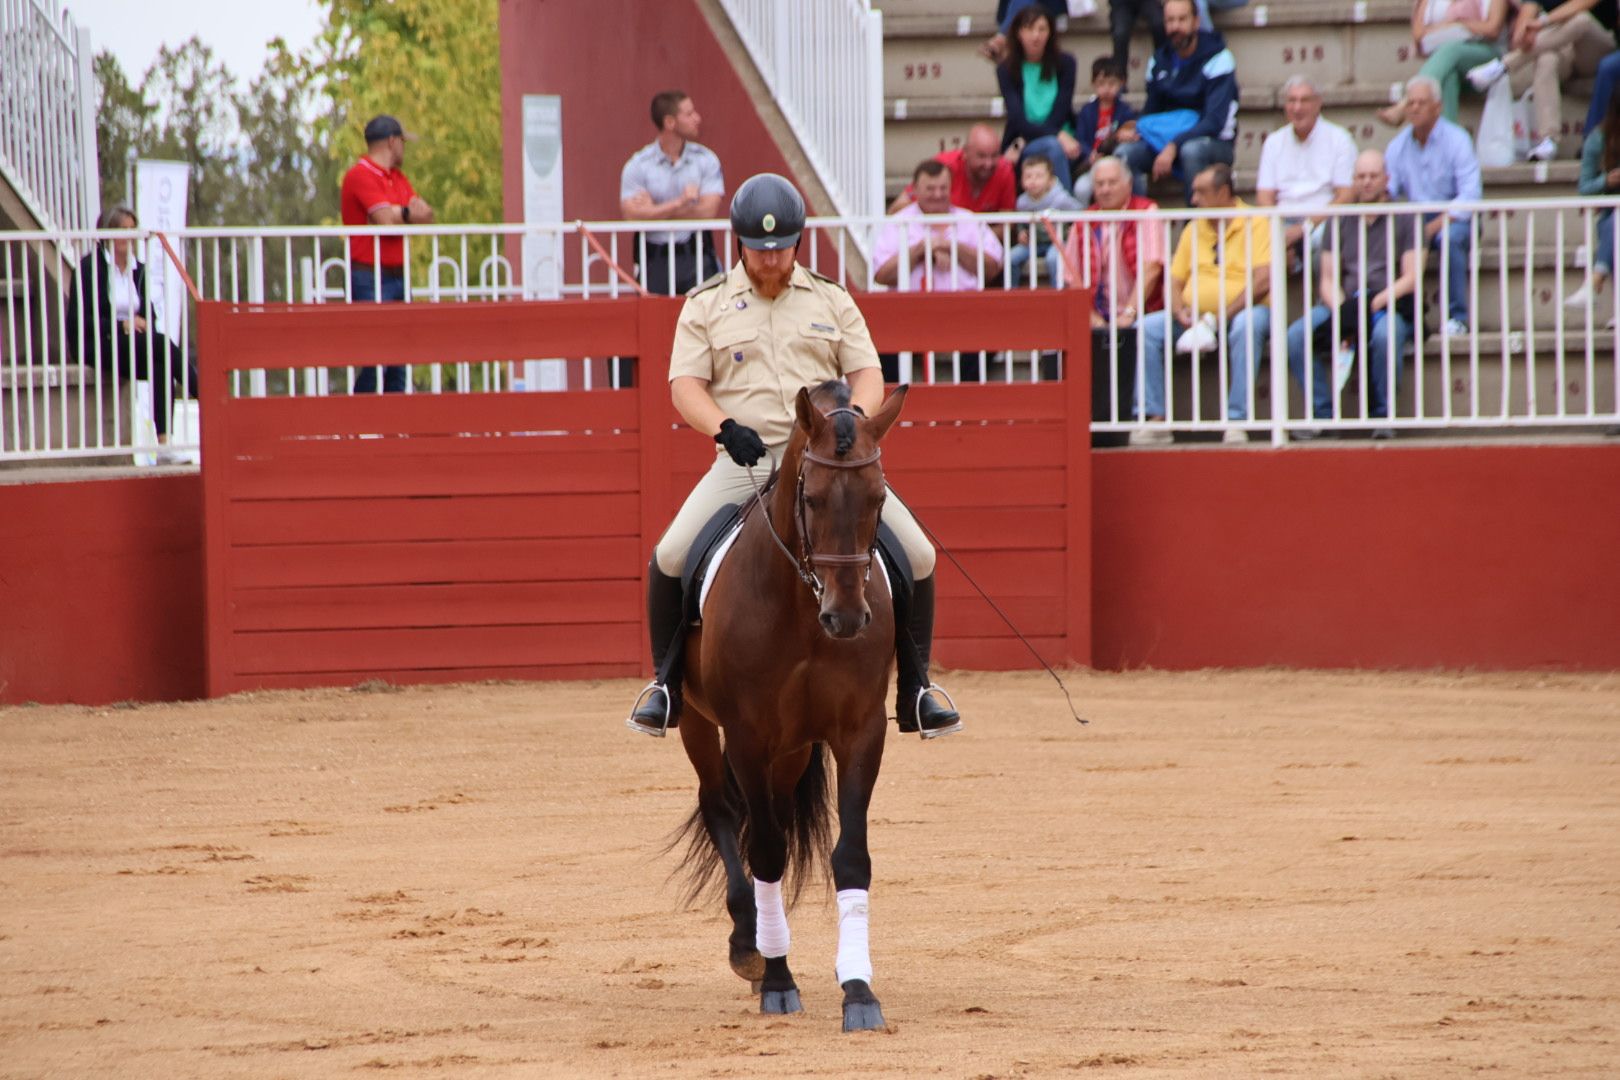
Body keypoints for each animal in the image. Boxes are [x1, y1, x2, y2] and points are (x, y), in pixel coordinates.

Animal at [670, 378, 913, 1029]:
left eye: (879, 498)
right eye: (814, 499)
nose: (847, 618)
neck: (804, 610)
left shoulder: (859, 732)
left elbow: (851, 857)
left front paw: (859, 990)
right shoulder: (747, 736)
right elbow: (767, 852)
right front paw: (777, 979)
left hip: (793, 748)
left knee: (771, 811)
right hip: (700, 724)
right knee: (723, 810)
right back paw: (748, 947)